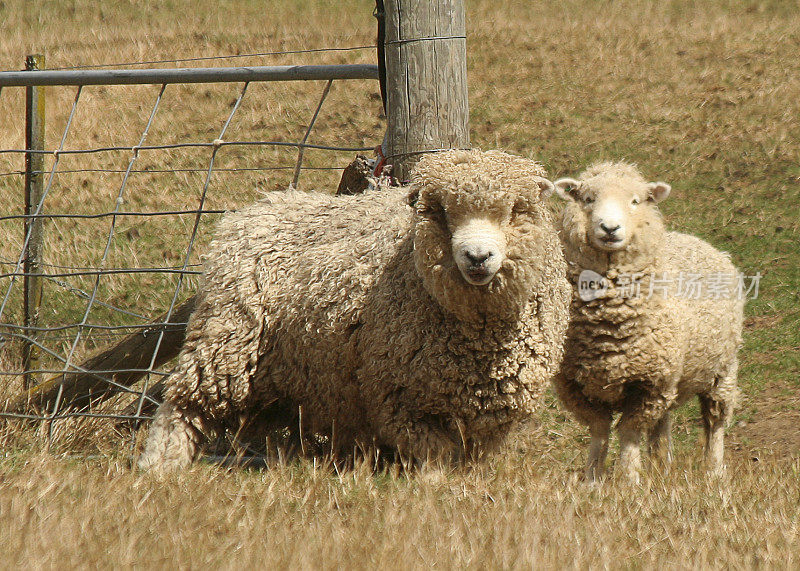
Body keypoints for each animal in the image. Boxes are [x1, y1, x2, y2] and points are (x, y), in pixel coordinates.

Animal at [139, 150, 576, 472]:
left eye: (516, 210)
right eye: (439, 211)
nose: (478, 257)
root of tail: (255, 210)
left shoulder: (492, 417)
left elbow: (469, 463)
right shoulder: (400, 402)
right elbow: (436, 458)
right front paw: (435, 491)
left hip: (287, 372)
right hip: (226, 340)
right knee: (183, 404)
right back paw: (160, 467)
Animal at [552, 161, 740, 482]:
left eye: (635, 201)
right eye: (588, 199)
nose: (610, 228)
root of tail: (696, 240)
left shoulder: (648, 384)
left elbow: (629, 431)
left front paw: (629, 479)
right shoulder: (574, 383)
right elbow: (599, 431)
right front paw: (592, 479)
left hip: (722, 368)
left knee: (715, 420)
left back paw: (714, 472)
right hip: (672, 375)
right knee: (663, 422)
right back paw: (662, 467)